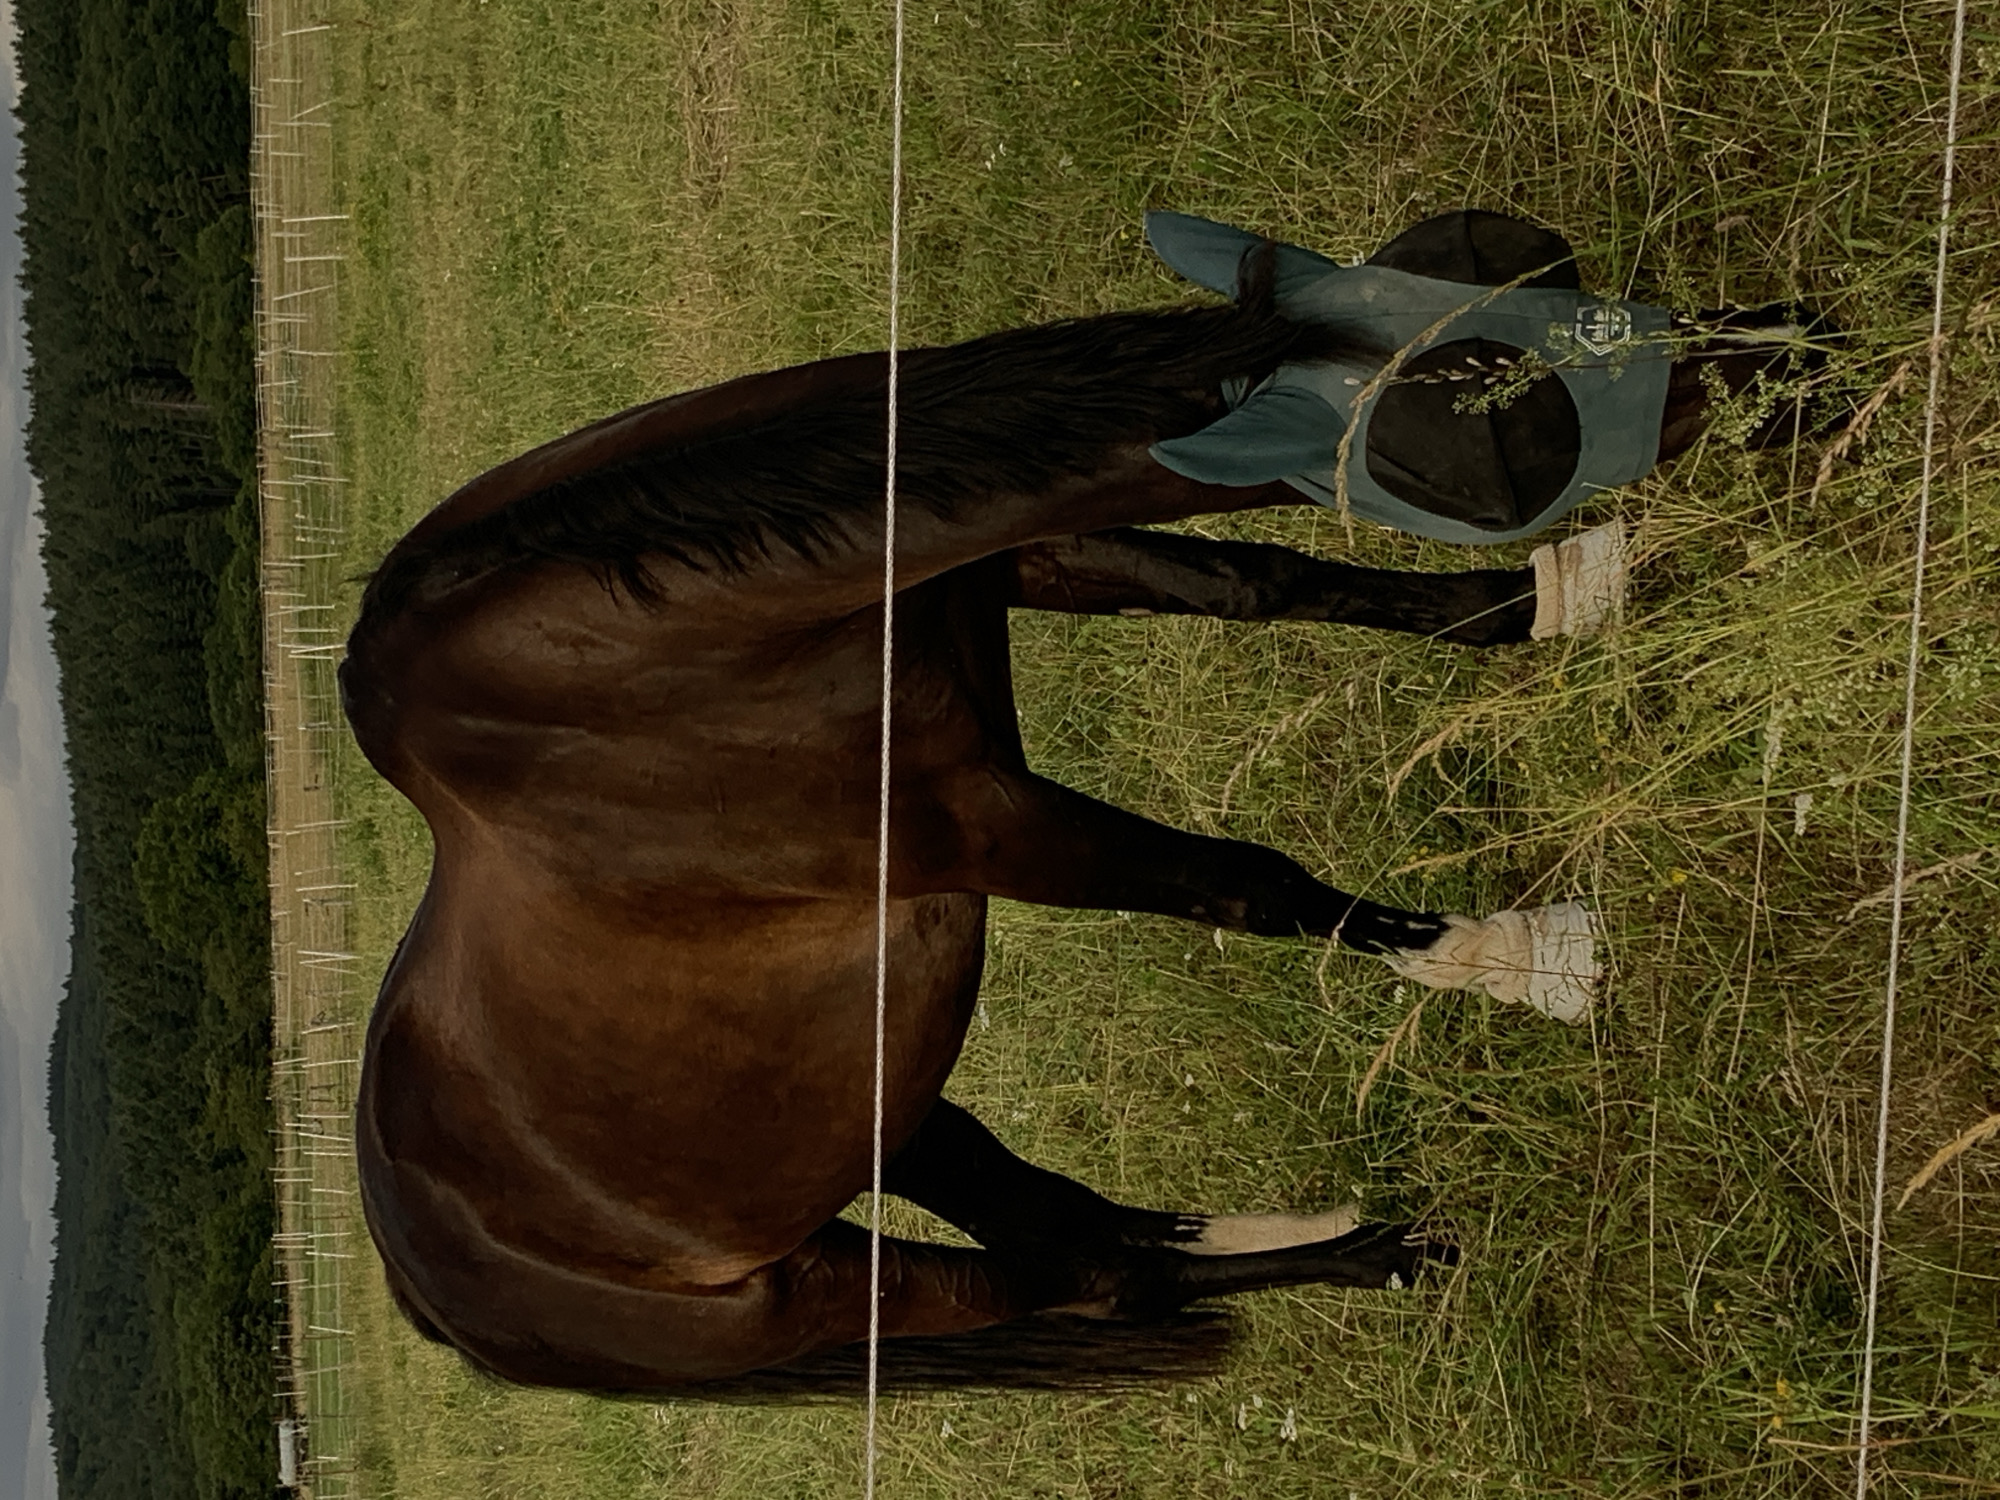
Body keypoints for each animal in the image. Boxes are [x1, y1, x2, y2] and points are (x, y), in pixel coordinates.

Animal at [340, 212, 1825, 1394]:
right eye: (1504, 390)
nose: (1802, 344)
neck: (641, 653)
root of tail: (428, 1286)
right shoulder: (984, 825)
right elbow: (1254, 885)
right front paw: (1523, 960)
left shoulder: (1004, 561)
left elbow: (1264, 583)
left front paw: (1553, 599)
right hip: (819, 1296)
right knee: (1090, 1277)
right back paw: (1379, 1247)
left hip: (887, 1126)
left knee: (1099, 1236)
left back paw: (1357, 1246)